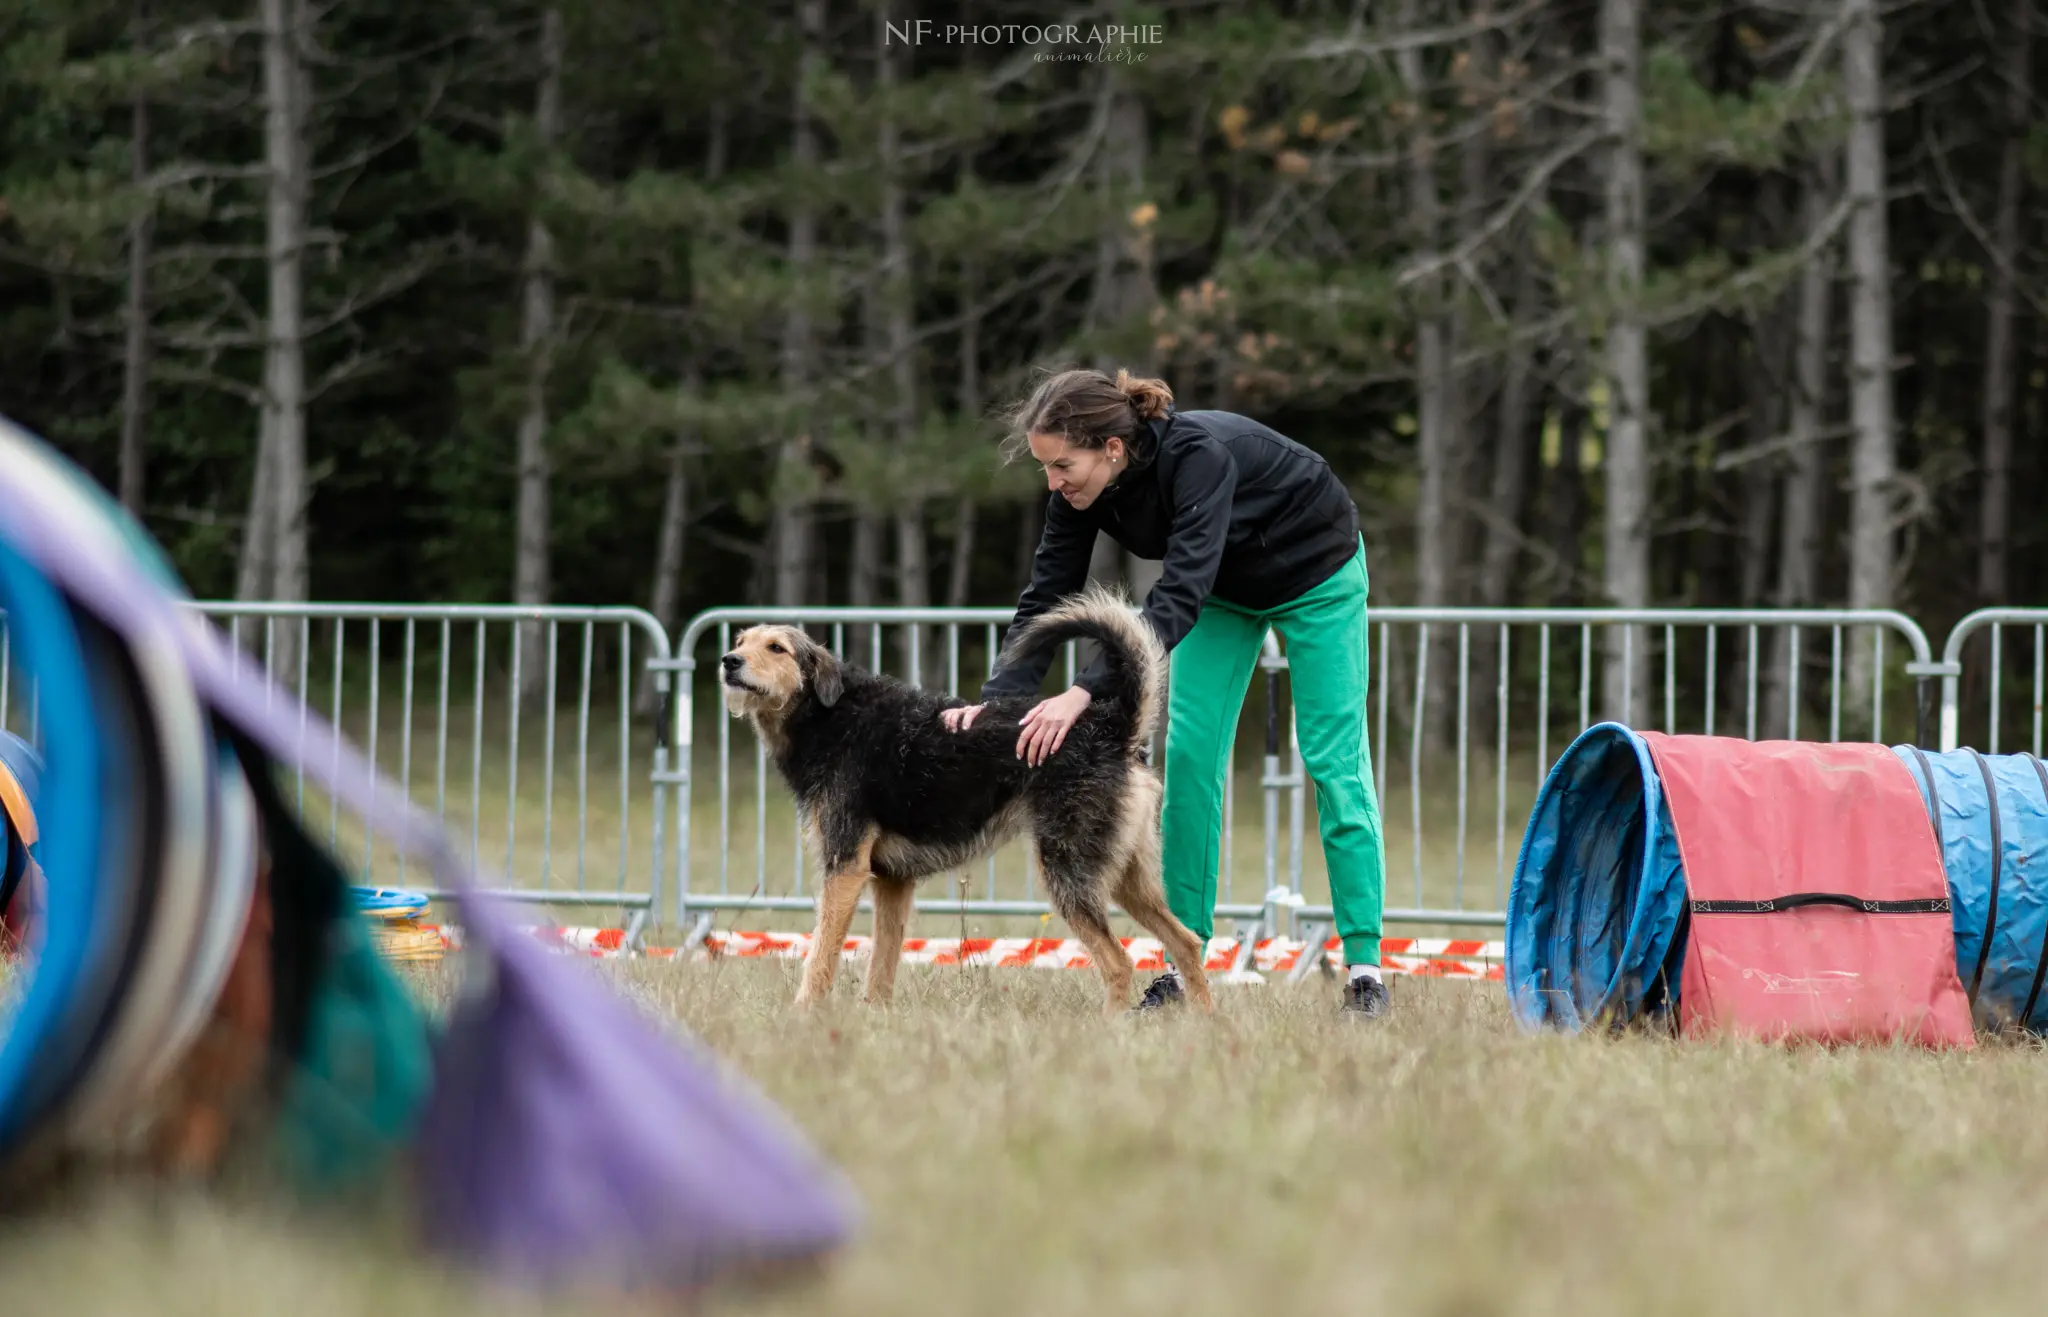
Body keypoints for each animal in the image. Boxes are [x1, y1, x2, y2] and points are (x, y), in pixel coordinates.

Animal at [720, 589, 1204, 1020]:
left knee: (1119, 963)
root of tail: (1111, 726)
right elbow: (882, 961)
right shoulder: (892, 881)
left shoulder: (845, 868)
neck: (831, 714)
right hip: (1126, 878)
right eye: (741, 641)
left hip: (1068, 871)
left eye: (777, 648)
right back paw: (1207, 1023)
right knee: (1187, 943)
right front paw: (875, 1017)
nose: (728, 661)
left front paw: (802, 1015)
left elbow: (821, 952)